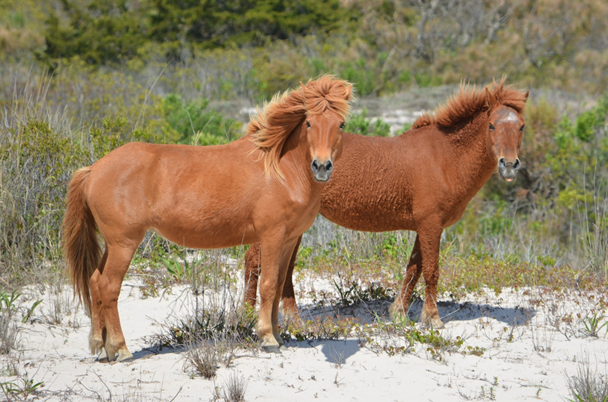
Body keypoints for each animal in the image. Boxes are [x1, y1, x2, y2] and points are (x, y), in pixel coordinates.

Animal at [61, 76, 352, 362]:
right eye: (309, 122)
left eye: (340, 123)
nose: (322, 166)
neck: (279, 169)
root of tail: (93, 169)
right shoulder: (272, 236)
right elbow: (268, 286)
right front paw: (268, 338)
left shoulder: (289, 239)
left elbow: (280, 285)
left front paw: (278, 336)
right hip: (125, 243)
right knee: (108, 286)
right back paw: (121, 349)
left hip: (113, 244)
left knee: (95, 281)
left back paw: (102, 345)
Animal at [242, 79, 528, 330]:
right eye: (492, 126)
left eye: (522, 126)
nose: (509, 165)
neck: (445, 156)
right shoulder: (431, 224)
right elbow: (431, 271)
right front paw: (433, 319)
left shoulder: (425, 226)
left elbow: (414, 268)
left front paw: (399, 313)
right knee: (255, 262)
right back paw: (248, 315)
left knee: (283, 267)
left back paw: (291, 319)